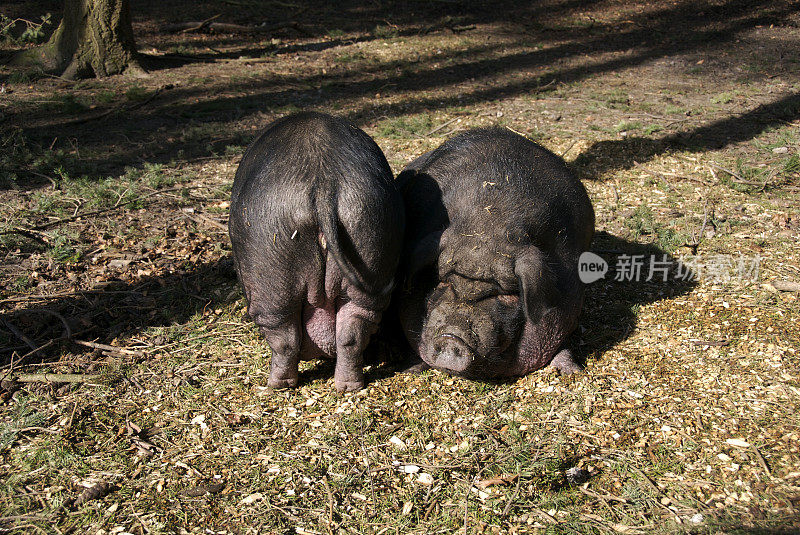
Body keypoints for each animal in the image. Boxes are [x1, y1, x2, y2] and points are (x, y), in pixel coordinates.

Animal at [230, 113, 406, 392]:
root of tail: (324, 185)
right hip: (370, 235)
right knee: (352, 333)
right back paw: (348, 386)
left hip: (271, 269)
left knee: (283, 338)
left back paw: (275, 386)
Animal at [398, 127, 592, 378]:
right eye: (443, 281)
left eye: (507, 294)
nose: (452, 336)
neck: (488, 224)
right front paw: (410, 368)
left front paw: (574, 371)